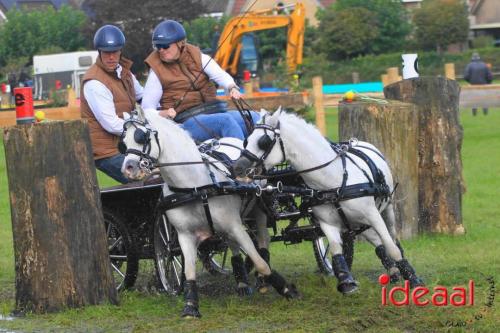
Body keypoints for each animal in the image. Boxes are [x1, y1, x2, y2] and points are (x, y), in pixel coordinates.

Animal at [118, 108, 296, 316]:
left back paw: (260, 279)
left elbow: (258, 260)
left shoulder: (235, 226)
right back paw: (241, 281)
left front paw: (286, 289)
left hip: (257, 208)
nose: (128, 169)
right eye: (123, 142)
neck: (193, 186)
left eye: (140, 137)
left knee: (262, 239)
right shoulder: (184, 235)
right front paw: (190, 305)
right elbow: (189, 270)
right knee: (232, 245)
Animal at [232, 109, 424, 294]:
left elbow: (391, 246)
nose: (237, 167)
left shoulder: (372, 215)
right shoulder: (327, 223)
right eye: (246, 141)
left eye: (263, 142)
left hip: (386, 208)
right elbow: (335, 249)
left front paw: (413, 278)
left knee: (392, 237)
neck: (333, 181)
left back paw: (399, 268)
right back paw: (392, 271)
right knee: (376, 240)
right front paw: (346, 281)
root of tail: (359, 142)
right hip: (356, 222)